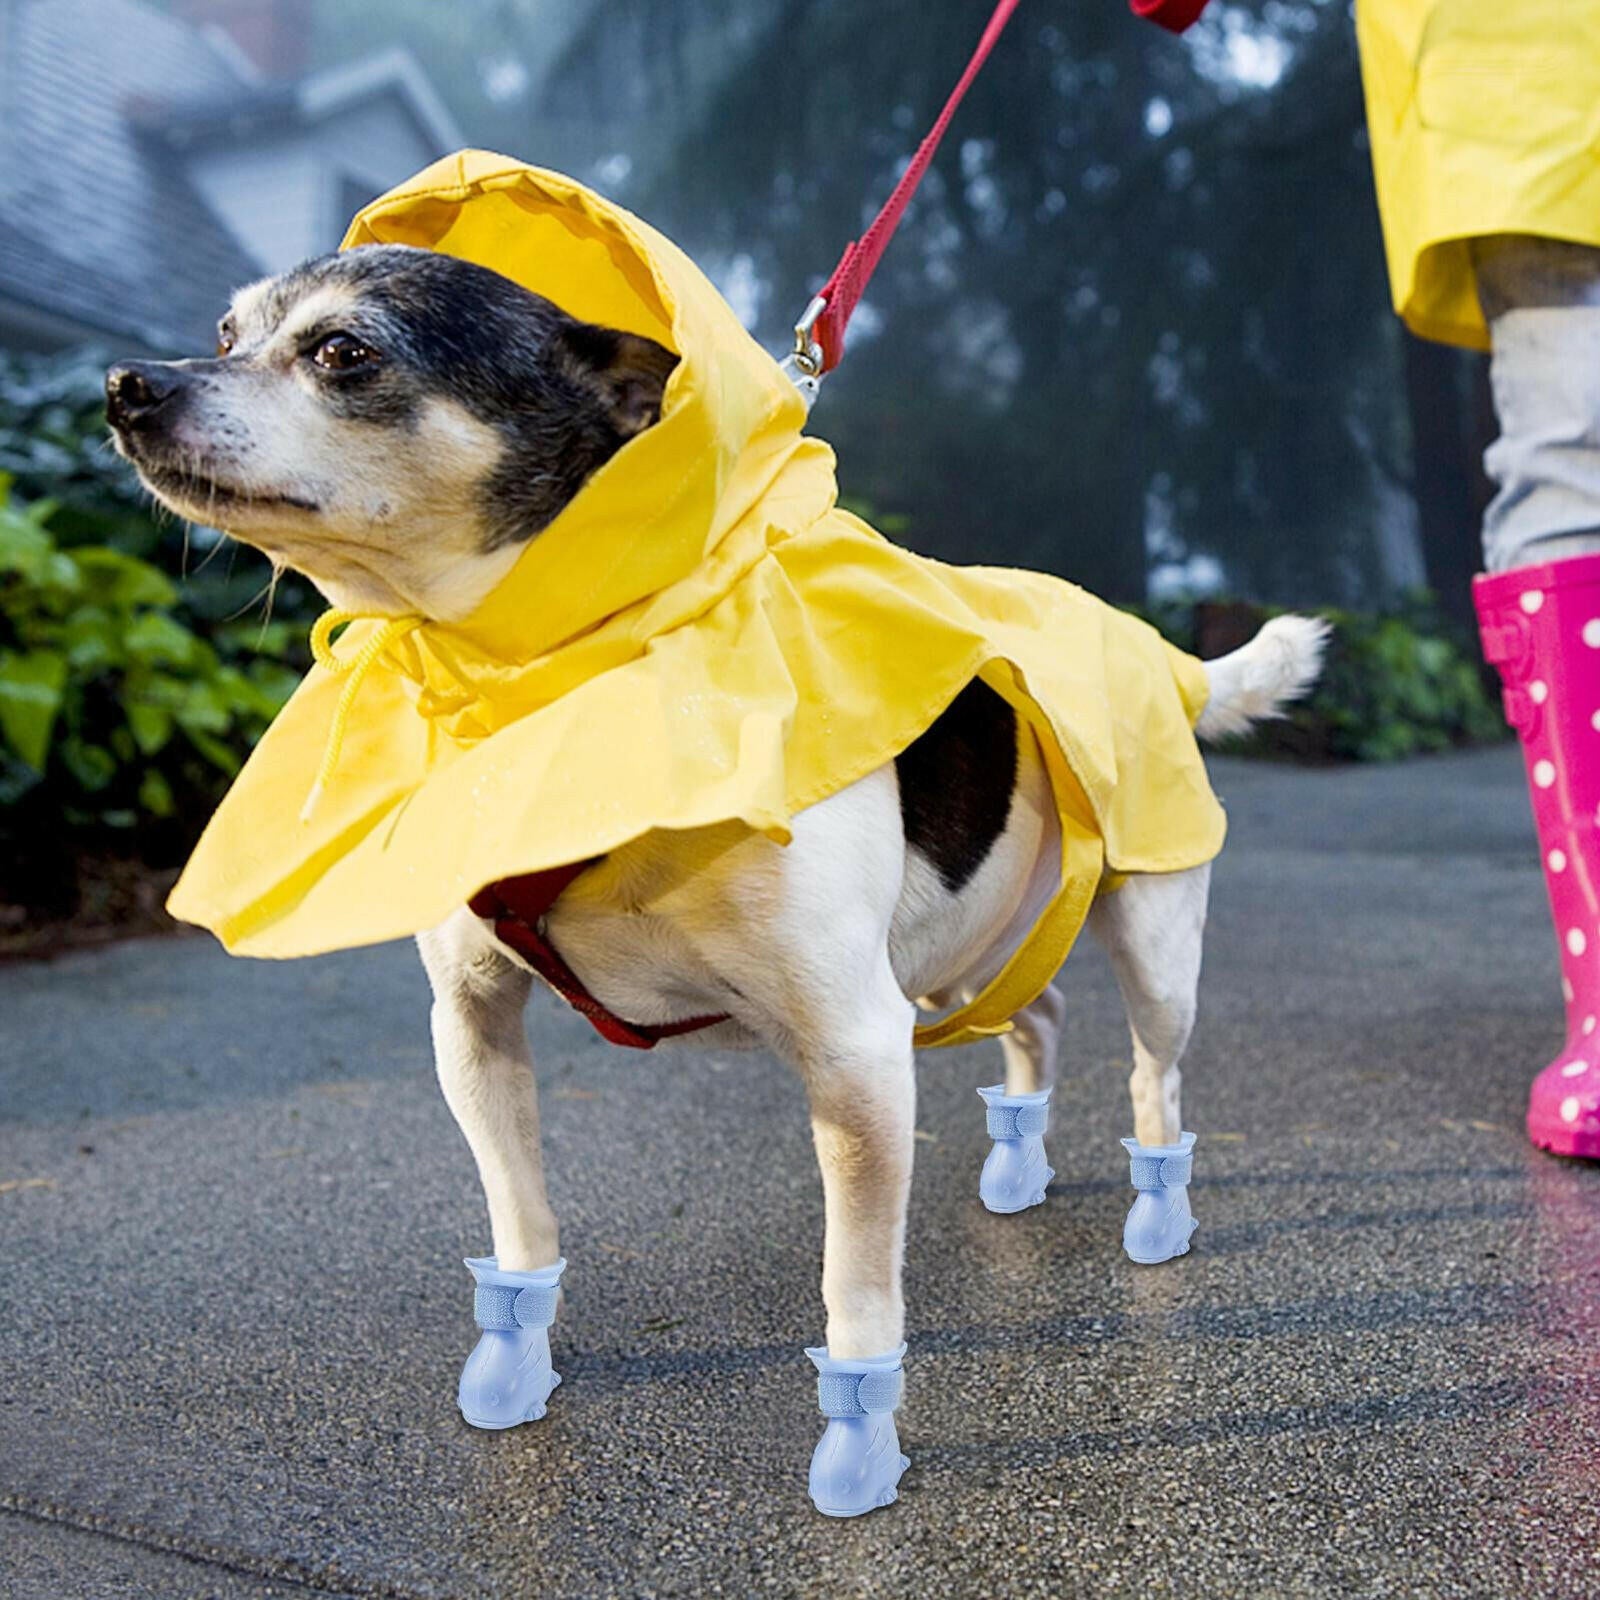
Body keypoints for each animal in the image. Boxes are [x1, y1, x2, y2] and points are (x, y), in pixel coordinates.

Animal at [103, 240, 1324, 1510]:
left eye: (345, 352)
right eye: (227, 334)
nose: (128, 386)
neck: (547, 690)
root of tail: (1168, 657)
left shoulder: (855, 1054)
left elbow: (856, 1294)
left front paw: (859, 1447)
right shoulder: (475, 1025)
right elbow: (520, 1221)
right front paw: (515, 1365)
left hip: (1148, 944)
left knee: (1152, 1077)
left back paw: (1157, 1216)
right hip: (955, 949)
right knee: (1036, 1016)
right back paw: (1017, 1165)